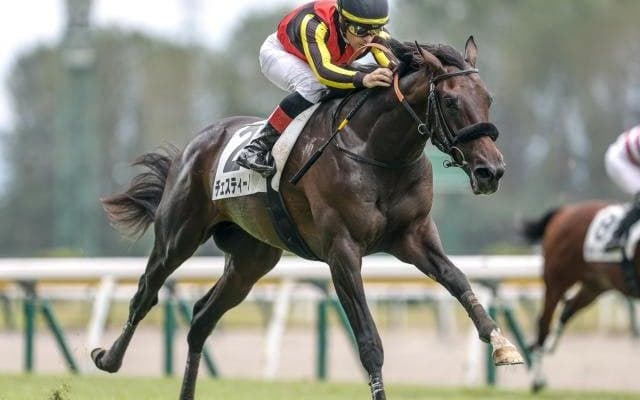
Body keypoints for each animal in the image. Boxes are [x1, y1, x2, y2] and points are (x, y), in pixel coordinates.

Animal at [91, 37, 523, 400]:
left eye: (487, 98)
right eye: (450, 102)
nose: (491, 171)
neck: (376, 151)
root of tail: (196, 143)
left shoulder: (413, 236)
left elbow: (458, 280)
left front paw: (501, 343)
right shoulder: (342, 251)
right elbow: (369, 343)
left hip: (251, 260)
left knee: (201, 319)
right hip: (179, 234)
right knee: (145, 292)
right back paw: (107, 358)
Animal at [521, 200, 640, 391]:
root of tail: (563, 211)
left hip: (595, 285)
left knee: (567, 310)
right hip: (556, 281)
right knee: (544, 324)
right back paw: (537, 379)